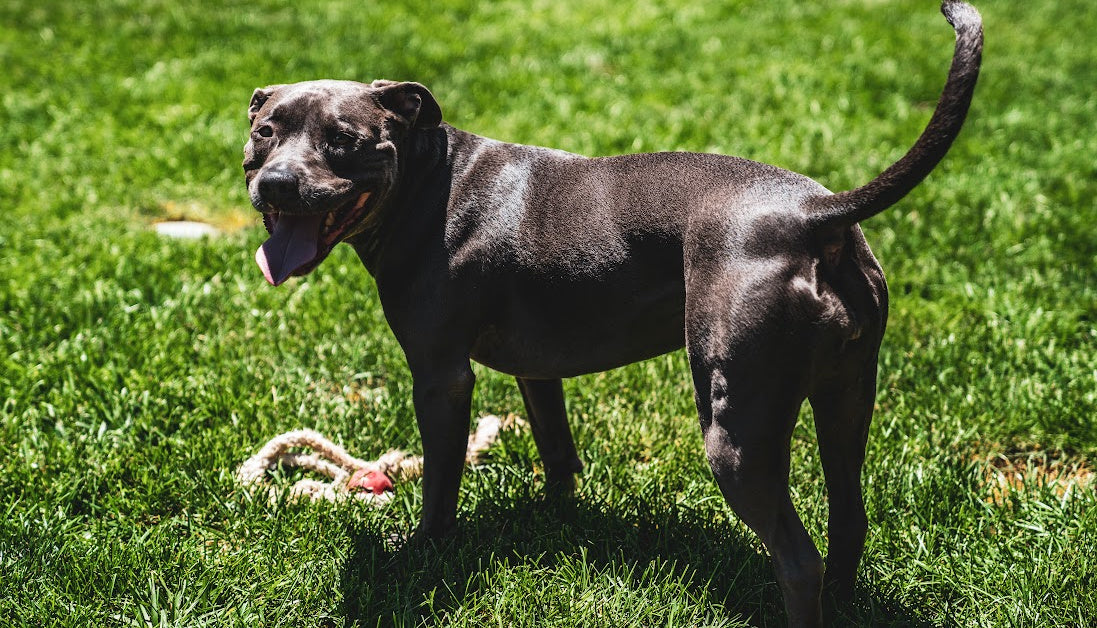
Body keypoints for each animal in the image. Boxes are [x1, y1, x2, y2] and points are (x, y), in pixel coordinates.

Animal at [242, 3, 987, 623]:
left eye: (344, 139)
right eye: (264, 132)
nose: (274, 183)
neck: (429, 181)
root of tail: (815, 214)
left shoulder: (441, 375)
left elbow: (441, 477)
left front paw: (423, 545)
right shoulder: (535, 367)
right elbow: (557, 449)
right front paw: (557, 517)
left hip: (736, 431)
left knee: (797, 561)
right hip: (845, 396)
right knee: (848, 520)